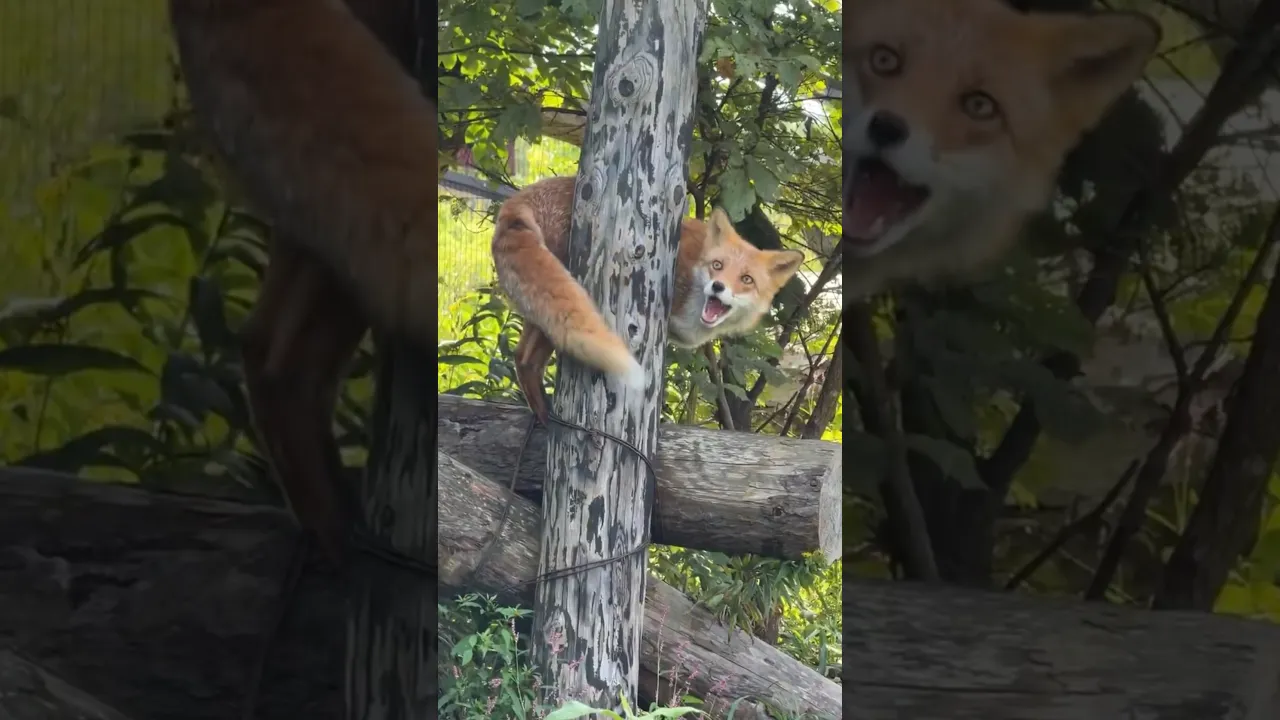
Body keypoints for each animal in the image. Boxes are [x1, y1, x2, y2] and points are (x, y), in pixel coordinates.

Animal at [493, 176, 805, 424]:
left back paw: (539, 412)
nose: (718, 287)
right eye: (717, 266)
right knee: (529, 358)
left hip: (539, 308)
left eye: (746, 279)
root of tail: (518, 200)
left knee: (520, 357)